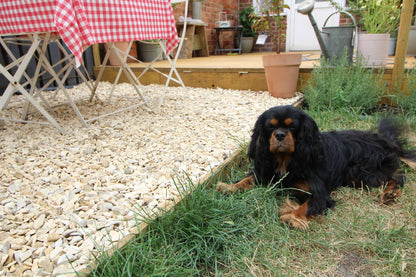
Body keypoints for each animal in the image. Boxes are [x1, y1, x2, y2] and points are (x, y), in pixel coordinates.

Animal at [216, 105, 414, 229]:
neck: (286, 159)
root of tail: (387, 141)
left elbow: (309, 204)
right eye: (270, 127)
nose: (279, 135)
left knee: (398, 177)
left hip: (359, 173)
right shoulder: (267, 172)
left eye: (292, 127)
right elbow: (248, 178)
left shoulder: (320, 194)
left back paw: (389, 193)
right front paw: (229, 187)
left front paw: (292, 216)